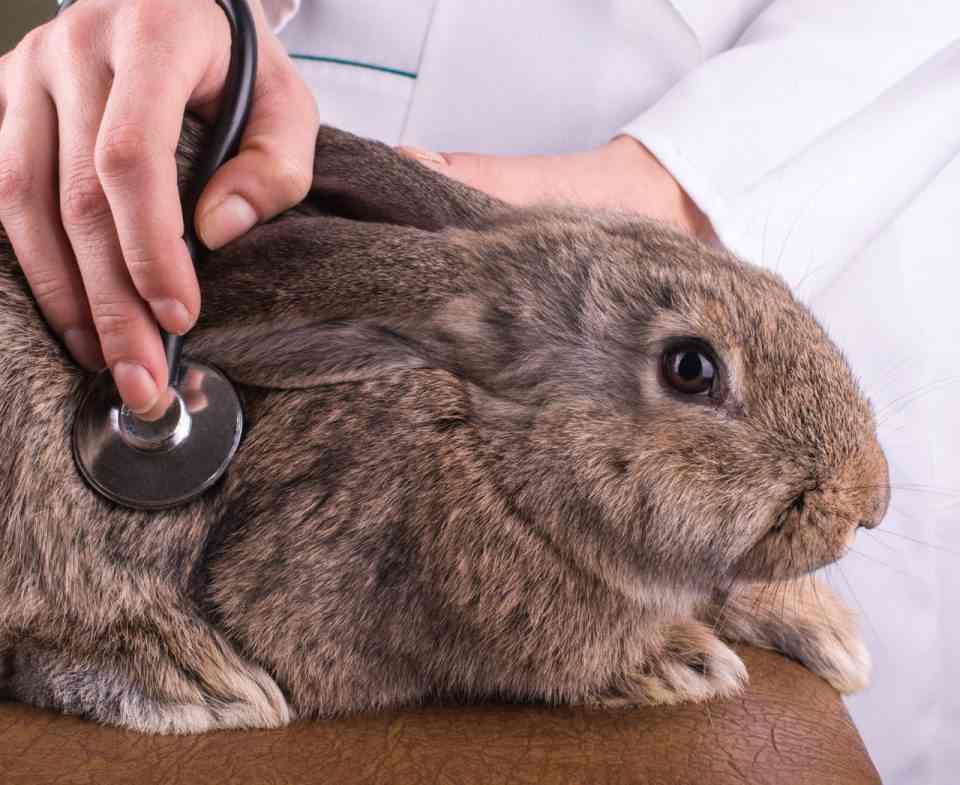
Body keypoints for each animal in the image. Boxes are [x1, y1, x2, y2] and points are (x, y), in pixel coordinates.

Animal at [0, 115, 889, 734]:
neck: (492, 450)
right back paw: (188, 677)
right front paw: (682, 659)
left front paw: (826, 632)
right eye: (692, 368)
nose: (869, 502)